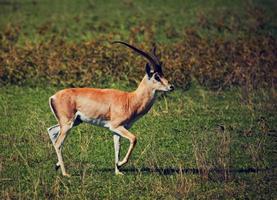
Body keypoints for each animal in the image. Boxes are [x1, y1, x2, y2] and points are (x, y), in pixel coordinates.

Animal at [47, 41, 172, 176]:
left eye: (163, 74)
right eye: (156, 76)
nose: (171, 86)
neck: (130, 100)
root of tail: (53, 96)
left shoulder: (116, 130)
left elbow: (117, 148)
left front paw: (118, 171)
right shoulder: (116, 126)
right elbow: (134, 139)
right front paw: (120, 164)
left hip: (75, 122)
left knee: (52, 131)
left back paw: (57, 165)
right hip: (68, 124)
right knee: (58, 143)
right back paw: (65, 173)